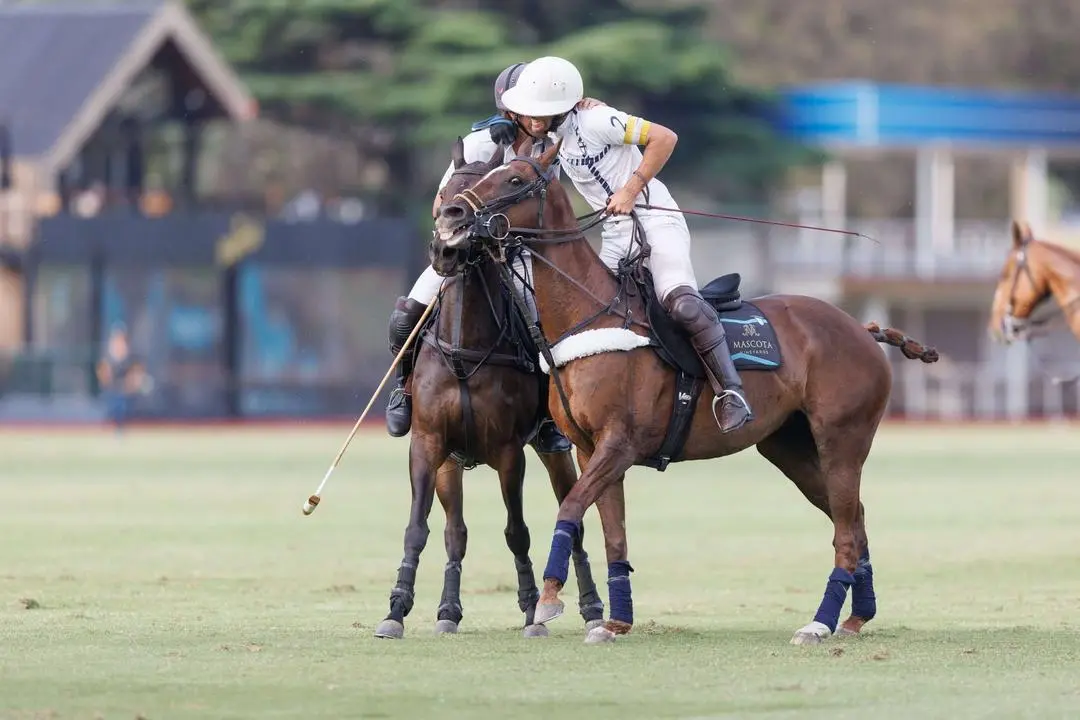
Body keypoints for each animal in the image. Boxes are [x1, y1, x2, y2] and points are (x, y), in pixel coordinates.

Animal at [373, 140, 609, 643]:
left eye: (475, 197)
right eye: (444, 197)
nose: (444, 248)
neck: (465, 349)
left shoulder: (508, 449)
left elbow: (517, 531)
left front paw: (531, 610)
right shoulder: (428, 443)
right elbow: (419, 528)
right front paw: (397, 609)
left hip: (553, 450)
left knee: (574, 522)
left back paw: (592, 608)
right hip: (450, 462)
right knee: (455, 531)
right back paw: (447, 611)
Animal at [427, 138, 937, 643]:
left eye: (513, 179)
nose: (450, 215)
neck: (587, 314)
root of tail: (862, 329)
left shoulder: (621, 443)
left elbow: (570, 508)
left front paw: (550, 600)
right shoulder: (592, 450)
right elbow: (613, 530)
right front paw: (614, 622)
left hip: (842, 440)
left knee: (847, 528)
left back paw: (819, 623)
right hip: (790, 447)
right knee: (854, 517)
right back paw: (855, 617)